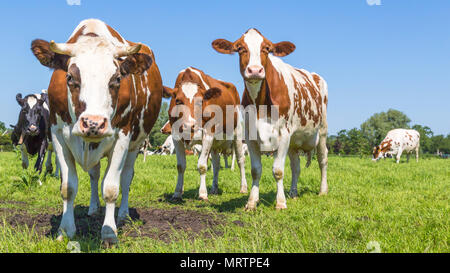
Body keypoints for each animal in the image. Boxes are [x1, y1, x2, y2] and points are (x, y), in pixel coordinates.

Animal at [30, 19, 163, 244]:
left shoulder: (123, 136)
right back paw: (93, 208)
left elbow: (110, 188)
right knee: (94, 175)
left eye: (117, 79)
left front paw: (109, 232)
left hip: (136, 144)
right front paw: (65, 230)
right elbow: (68, 187)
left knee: (126, 177)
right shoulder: (58, 135)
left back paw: (123, 214)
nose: (93, 123)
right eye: (69, 77)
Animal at [213, 28, 328, 209]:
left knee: (323, 160)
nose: (255, 70)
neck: (261, 104)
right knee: (296, 166)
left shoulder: (284, 134)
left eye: (267, 48)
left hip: (322, 131)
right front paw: (252, 202)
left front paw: (280, 203)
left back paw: (322, 190)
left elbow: (278, 170)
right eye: (240, 48)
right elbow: (256, 170)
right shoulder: (250, 136)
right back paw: (293, 193)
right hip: (294, 141)